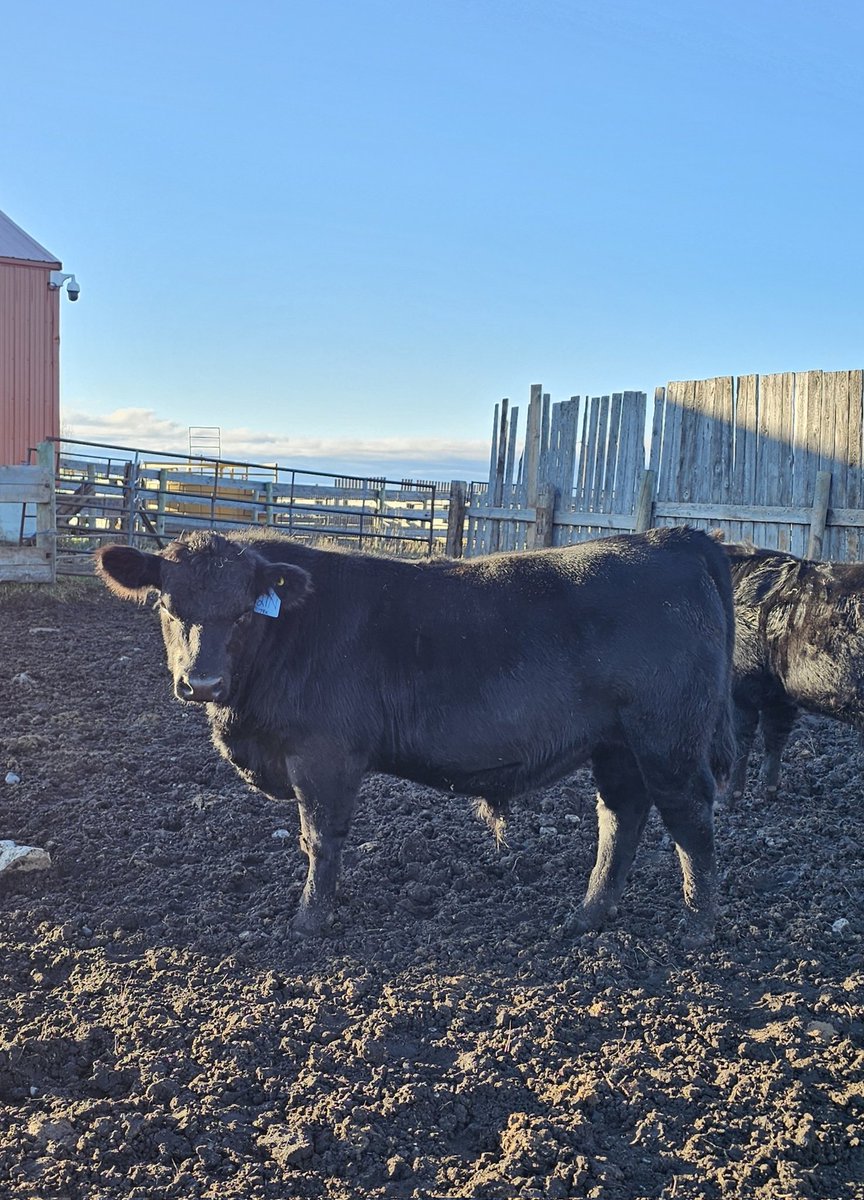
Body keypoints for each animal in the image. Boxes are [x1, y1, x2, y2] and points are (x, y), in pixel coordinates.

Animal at [94, 526, 735, 942]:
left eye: (246, 611)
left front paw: (308, 923)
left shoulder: (323, 754)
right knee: (621, 817)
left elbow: (319, 838)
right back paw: (587, 916)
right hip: (618, 743)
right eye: (167, 605)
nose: (200, 682)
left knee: (689, 817)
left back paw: (698, 926)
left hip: (667, 735)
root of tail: (667, 539)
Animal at [725, 540, 864, 801]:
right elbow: (776, 736)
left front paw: (726, 800)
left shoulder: (741, 683)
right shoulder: (781, 693)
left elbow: (741, 739)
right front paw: (768, 793)